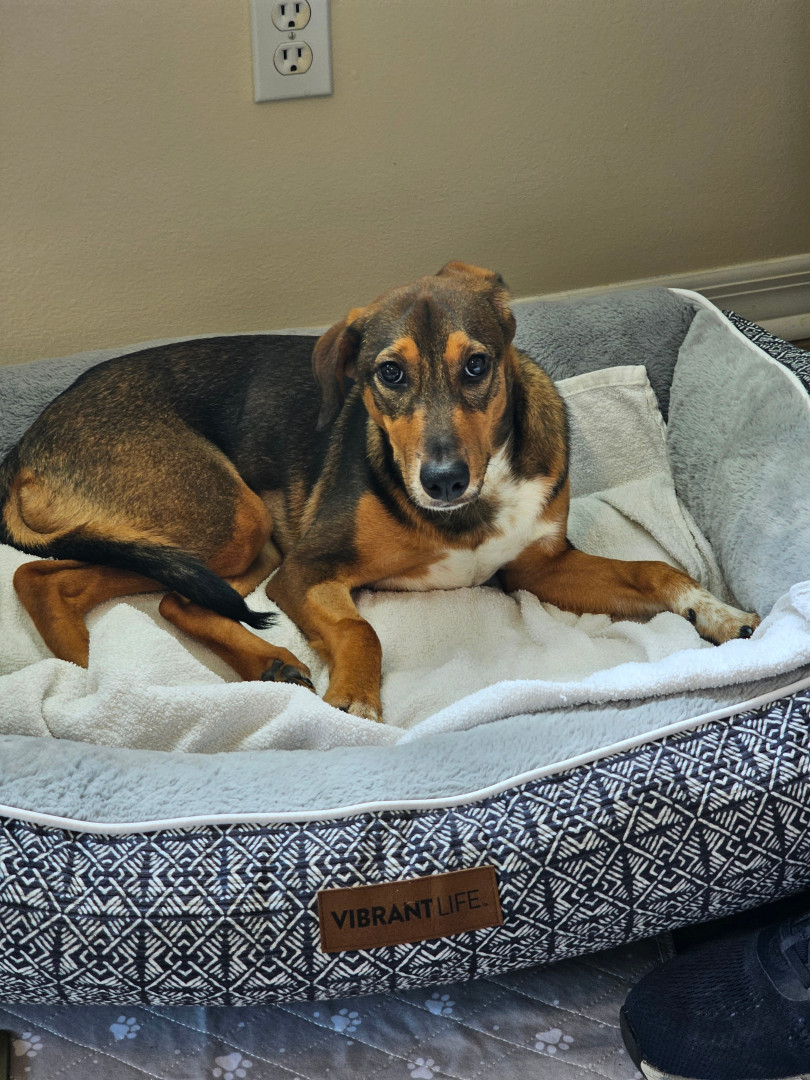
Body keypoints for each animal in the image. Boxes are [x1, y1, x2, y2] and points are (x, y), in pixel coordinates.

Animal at [0, 262, 759, 722]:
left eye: (477, 366)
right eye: (389, 374)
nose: (444, 479)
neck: (472, 507)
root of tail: (27, 444)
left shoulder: (541, 568)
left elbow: (653, 569)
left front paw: (717, 611)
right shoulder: (304, 572)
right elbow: (362, 631)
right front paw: (356, 704)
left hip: (223, 548)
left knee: (132, 591)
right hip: (231, 523)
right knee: (65, 579)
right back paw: (84, 685)